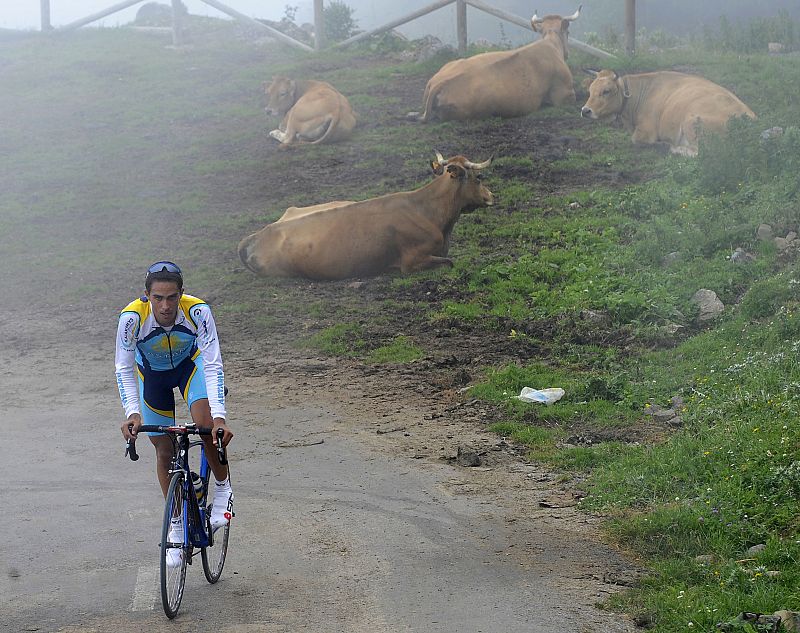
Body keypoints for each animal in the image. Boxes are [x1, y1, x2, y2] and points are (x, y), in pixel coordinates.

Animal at [238, 152, 494, 280]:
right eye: (480, 178)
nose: (491, 196)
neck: (426, 210)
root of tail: (259, 234)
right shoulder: (412, 261)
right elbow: (449, 262)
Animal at [580, 69, 756, 156]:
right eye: (590, 90)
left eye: (606, 91)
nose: (585, 110)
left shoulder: (646, 131)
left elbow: (635, 140)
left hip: (691, 122)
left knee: (697, 153)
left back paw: (670, 147)